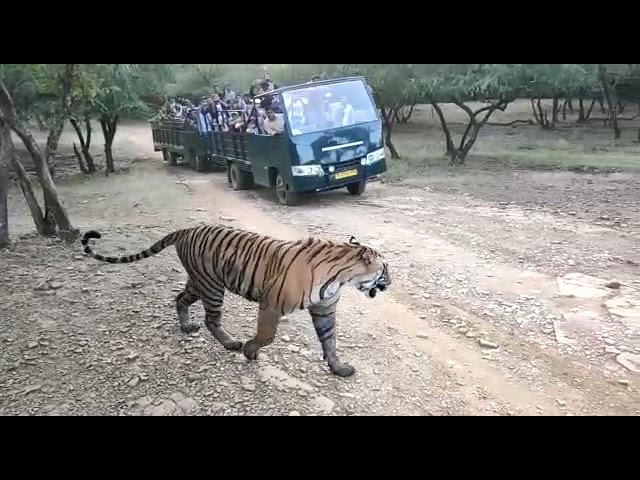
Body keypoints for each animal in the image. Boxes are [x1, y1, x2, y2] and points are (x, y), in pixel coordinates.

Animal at [81, 226, 390, 378]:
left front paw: (339, 369)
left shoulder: (324, 310)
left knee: (180, 299)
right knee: (211, 319)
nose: (391, 281)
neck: (340, 278)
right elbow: (266, 336)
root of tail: (185, 230)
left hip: (199, 282)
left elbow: (330, 341)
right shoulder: (270, 304)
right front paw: (250, 351)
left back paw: (186, 326)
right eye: (385, 269)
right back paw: (230, 343)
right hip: (212, 286)